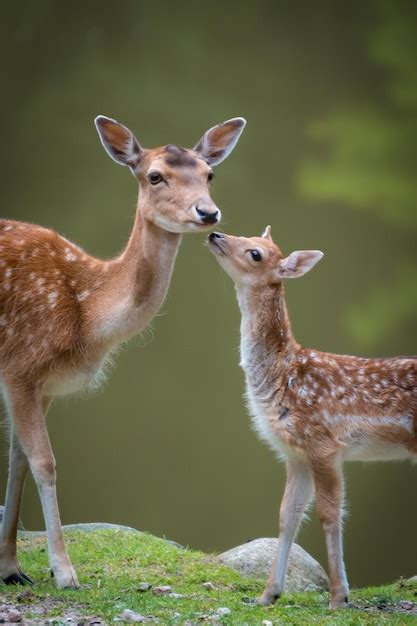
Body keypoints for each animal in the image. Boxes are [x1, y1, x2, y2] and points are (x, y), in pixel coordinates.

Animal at [0, 114, 245, 588]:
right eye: (155, 176)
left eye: (209, 174)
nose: (208, 212)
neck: (85, 313)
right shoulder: (19, 364)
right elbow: (45, 462)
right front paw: (64, 572)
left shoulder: (43, 385)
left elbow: (18, 460)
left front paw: (11, 567)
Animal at [208, 228, 416, 604]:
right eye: (245, 235)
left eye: (255, 253)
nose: (215, 233)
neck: (282, 374)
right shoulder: (295, 452)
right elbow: (287, 516)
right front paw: (268, 594)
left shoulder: (323, 442)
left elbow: (329, 514)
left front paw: (339, 596)